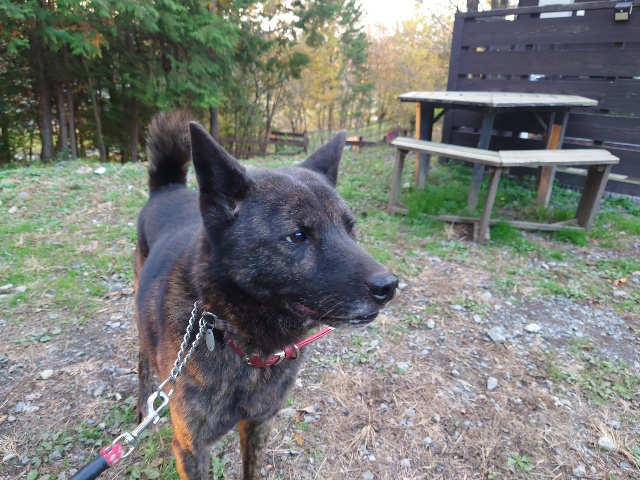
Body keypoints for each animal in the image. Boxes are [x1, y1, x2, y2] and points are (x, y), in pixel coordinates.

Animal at [134, 111, 398, 479]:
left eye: (350, 228)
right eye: (298, 235)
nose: (389, 286)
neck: (244, 346)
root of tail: (168, 187)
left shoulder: (259, 424)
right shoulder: (191, 449)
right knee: (143, 361)